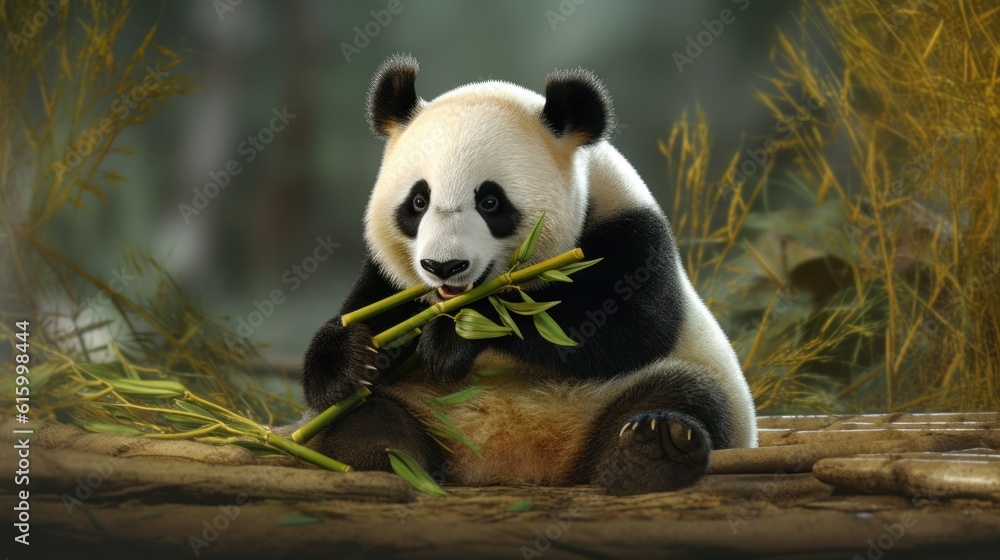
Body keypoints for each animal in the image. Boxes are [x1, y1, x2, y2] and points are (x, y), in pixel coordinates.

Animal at [302, 54, 757, 495]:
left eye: (490, 202)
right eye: (418, 201)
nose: (443, 266)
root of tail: (521, 464)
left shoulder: (633, 232)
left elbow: (628, 326)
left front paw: (456, 337)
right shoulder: (391, 277)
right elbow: (365, 316)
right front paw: (351, 358)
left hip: (671, 384)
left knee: (685, 395)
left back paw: (653, 452)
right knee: (362, 416)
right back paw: (381, 455)